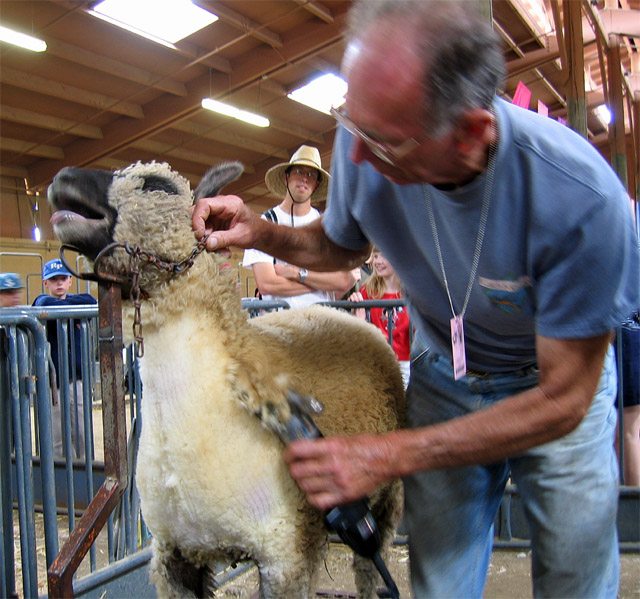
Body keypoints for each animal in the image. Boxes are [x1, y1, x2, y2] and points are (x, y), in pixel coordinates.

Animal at [48, 162, 404, 599]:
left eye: (157, 184)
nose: (63, 177)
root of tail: (335, 312)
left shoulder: (285, 553)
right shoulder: (174, 555)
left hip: (385, 500)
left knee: (372, 569)